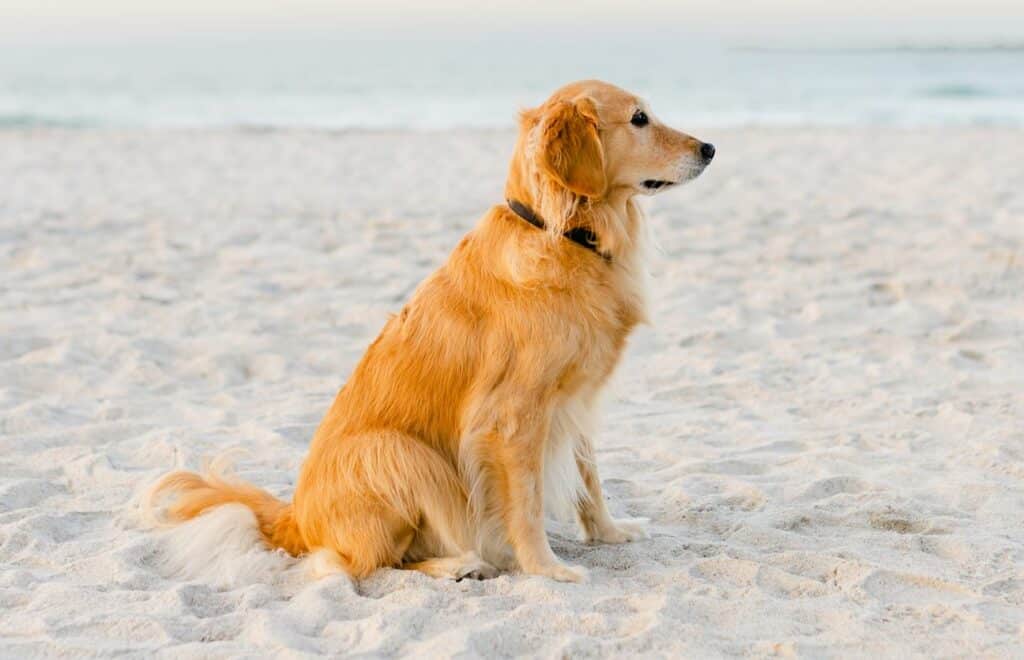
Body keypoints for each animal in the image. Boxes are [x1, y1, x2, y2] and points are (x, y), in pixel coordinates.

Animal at [146, 79, 712, 581]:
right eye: (639, 119)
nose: (710, 148)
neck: (567, 235)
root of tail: (296, 520)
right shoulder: (512, 417)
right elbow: (527, 504)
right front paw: (547, 568)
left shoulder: (575, 401)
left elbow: (590, 480)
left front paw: (610, 533)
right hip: (399, 453)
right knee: (360, 564)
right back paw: (459, 564)